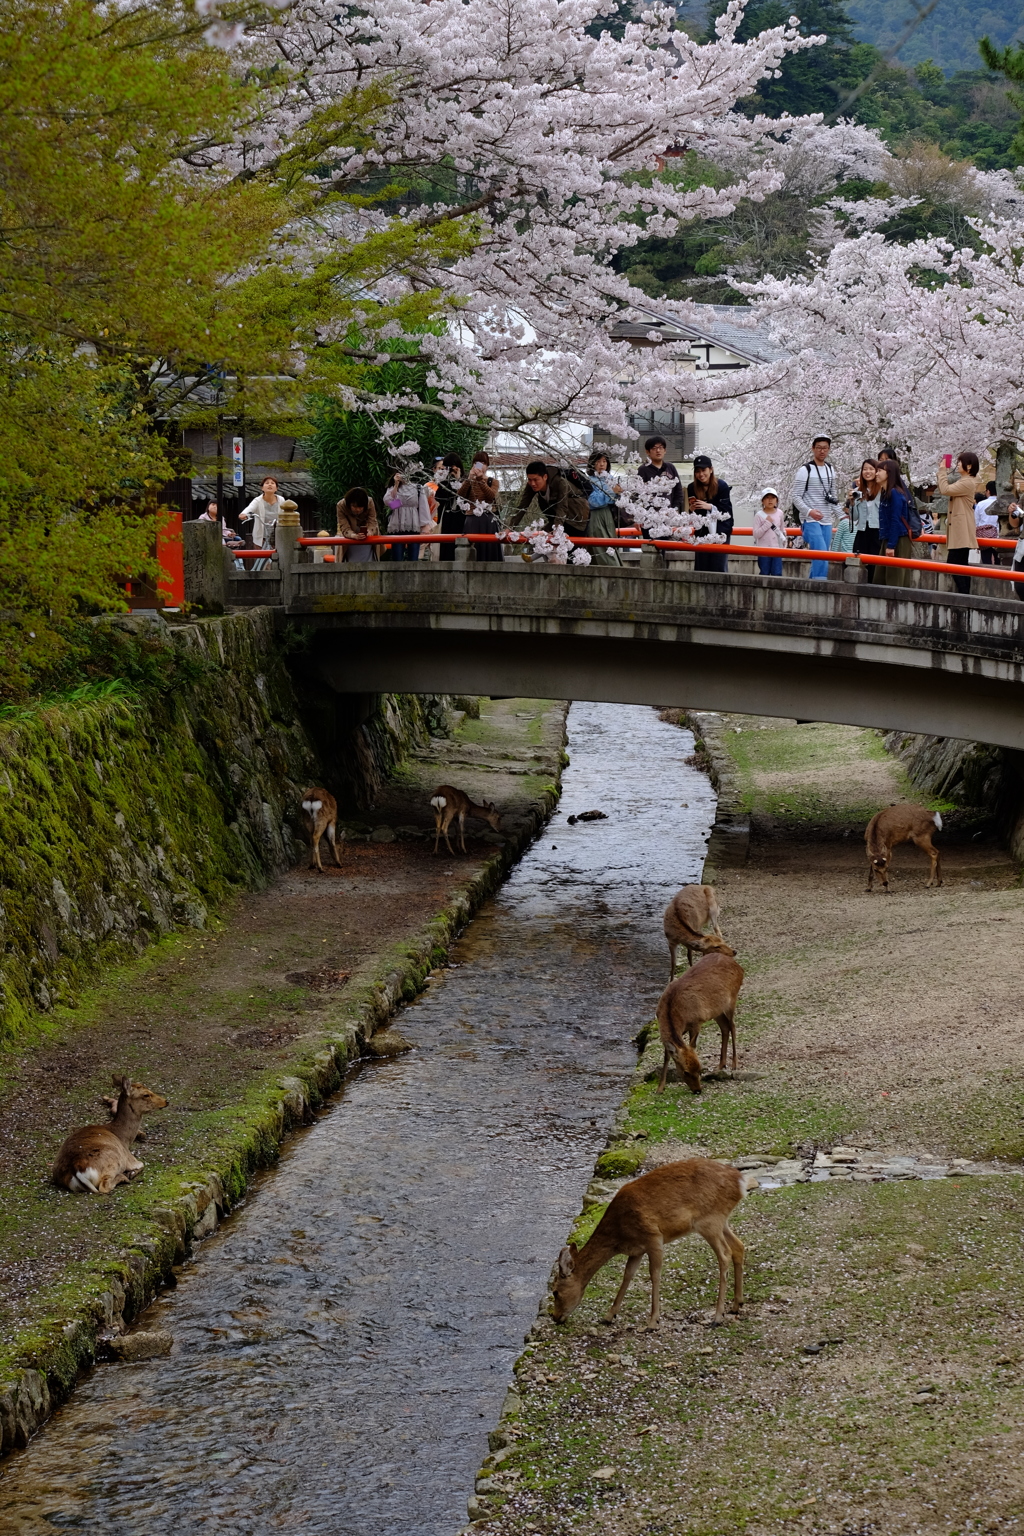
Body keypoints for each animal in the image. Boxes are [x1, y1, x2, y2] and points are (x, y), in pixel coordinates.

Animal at [549, 1155, 758, 1327]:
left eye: (555, 1291)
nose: (555, 1317)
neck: (619, 1234)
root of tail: (740, 1182)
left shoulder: (653, 1237)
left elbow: (654, 1275)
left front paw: (653, 1322)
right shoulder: (636, 1250)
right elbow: (628, 1275)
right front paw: (608, 1316)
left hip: (709, 1221)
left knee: (725, 1254)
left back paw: (717, 1316)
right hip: (722, 1220)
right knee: (739, 1246)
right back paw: (736, 1304)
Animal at [657, 952, 746, 1099]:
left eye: (699, 1069)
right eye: (686, 1072)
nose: (698, 1090)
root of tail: (740, 967)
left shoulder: (696, 1022)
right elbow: (667, 1055)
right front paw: (660, 1088)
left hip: (732, 999)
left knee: (732, 1026)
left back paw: (734, 1064)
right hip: (717, 1010)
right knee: (725, 1027)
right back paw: (721, 1065)